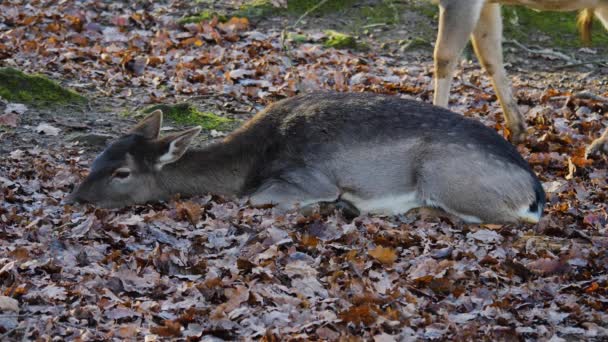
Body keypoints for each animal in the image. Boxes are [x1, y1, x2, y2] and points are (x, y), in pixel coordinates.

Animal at [66, 91, 548, 224]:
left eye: (122, 172)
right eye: (97, 157)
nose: (76, 197)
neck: (251, 163)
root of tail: (535, 190)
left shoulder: (310, 179)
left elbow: (257, 199)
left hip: (447, 175)